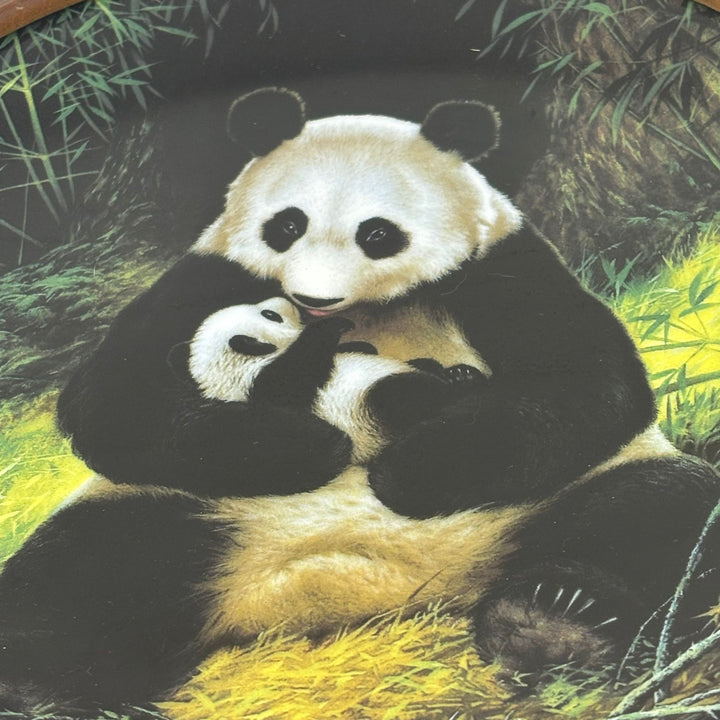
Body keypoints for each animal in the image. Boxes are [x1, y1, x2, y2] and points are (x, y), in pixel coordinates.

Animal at [1, 88, 717, 715]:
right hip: (180, 512)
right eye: (287, 224)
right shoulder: (210, 274)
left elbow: (592, 383)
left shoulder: (504, 268)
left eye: (378, 234)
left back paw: (551, 624)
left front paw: (405, 472)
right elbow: (114, 403)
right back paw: (36, 691)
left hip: (555, 498)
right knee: (73, 586)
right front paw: (307, 446)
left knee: (652, 513)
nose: (313, 298)